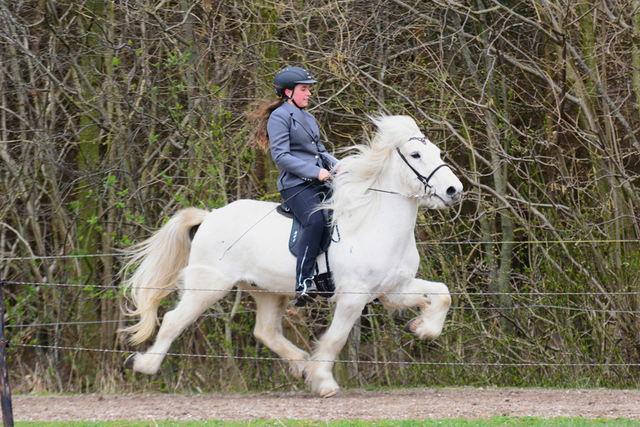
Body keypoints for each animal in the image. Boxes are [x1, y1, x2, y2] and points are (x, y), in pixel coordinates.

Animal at [121, 114, 460, 398]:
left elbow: (442, 295)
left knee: (265, 331)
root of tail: (211, 215)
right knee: (173, 321)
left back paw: (301, 365)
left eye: (438, 151)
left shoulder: (392, 290)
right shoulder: (354, 296)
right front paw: (324, 383)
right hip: (208, 285)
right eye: (415, 155)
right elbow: (336, 338)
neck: (375, 222)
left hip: (267, 291)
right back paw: (143, 365)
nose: (454, 191)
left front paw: (422, 329)